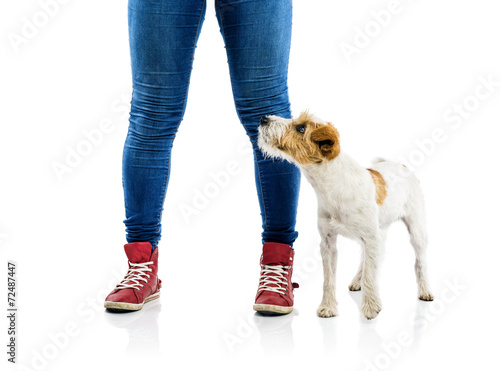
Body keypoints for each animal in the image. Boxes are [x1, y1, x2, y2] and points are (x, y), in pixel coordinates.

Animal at [258, 112, 434, 322]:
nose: (263, 118)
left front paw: (370, 307)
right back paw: (357, 281)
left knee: (419, 262)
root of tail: (402, 165)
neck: (331, 185)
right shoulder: (328, 243)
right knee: (366, 260)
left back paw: (424, 290)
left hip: (416, 230)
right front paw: (328, 307)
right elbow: (329, 278)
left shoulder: (371, 238)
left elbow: (370, 274)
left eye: (301, 128)